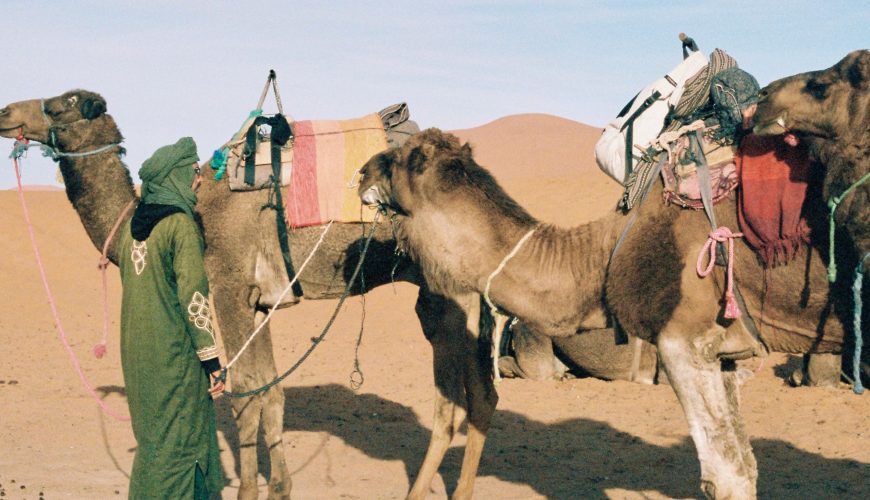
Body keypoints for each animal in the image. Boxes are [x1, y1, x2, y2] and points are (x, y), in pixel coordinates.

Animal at [0, 90, 659, 499]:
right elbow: (270, 395)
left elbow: (244, 397)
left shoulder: (226, 286)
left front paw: (248, 489)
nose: (8, 112)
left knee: (462, 398)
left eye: (62, 103)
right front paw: (280, 486)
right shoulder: (258, 303)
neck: (181, 206)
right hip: (449, 296)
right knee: (473, 394)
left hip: (447, 293)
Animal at [358, 128, 859, 499]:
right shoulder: (728, 355)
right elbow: (748, 468)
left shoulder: (685, 339)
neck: (599, 257)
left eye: (405, 158)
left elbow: (726, 480)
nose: (363, 169)